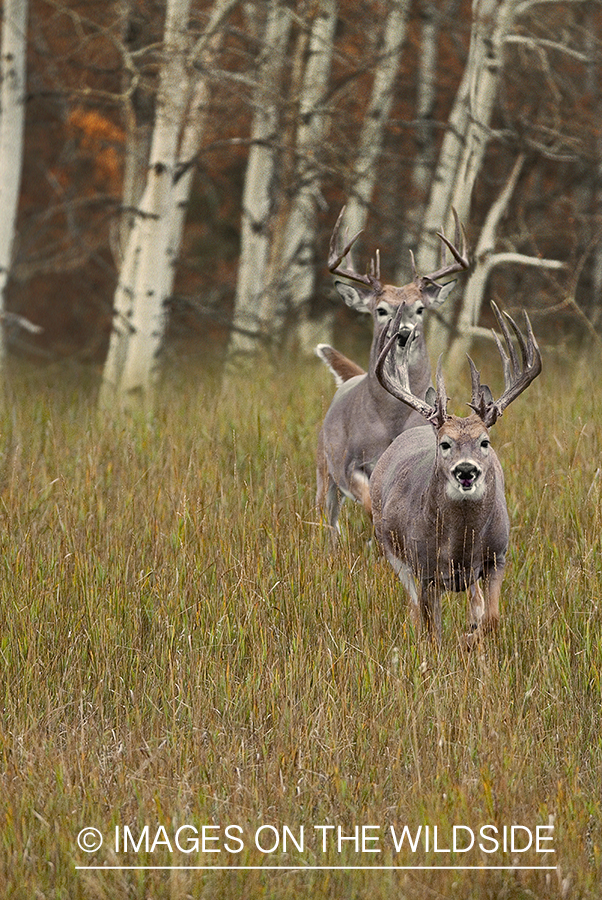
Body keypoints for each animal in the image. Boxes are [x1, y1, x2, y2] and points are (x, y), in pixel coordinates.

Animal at [316, 206, 469, 537]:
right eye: (381, 309)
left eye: (420, 308)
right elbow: (369, 503)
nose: (404, 333)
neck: (390, 421)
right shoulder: (351, 464)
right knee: (326, 516)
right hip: (324, 465)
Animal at [369, 300, 542, 646]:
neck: (459, 546)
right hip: (392, 549)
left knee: (475, 601)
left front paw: (470, 638)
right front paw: (443, 649)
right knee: (413, 609)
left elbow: (491, 618)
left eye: (484, 441)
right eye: (445, 444)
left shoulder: (497, 557)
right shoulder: (424, 569)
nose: (466, 470)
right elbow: (432, 629)